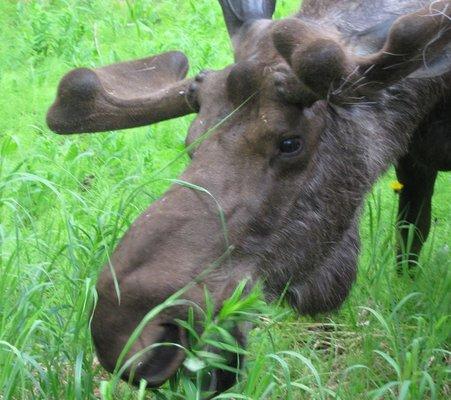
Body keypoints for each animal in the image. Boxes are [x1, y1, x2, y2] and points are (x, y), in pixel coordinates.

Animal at [46, 0, 451, 394]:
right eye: (191, 138)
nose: (125, 329)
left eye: (290, 143)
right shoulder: (411, 156)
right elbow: (410, 240)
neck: (434, 98)